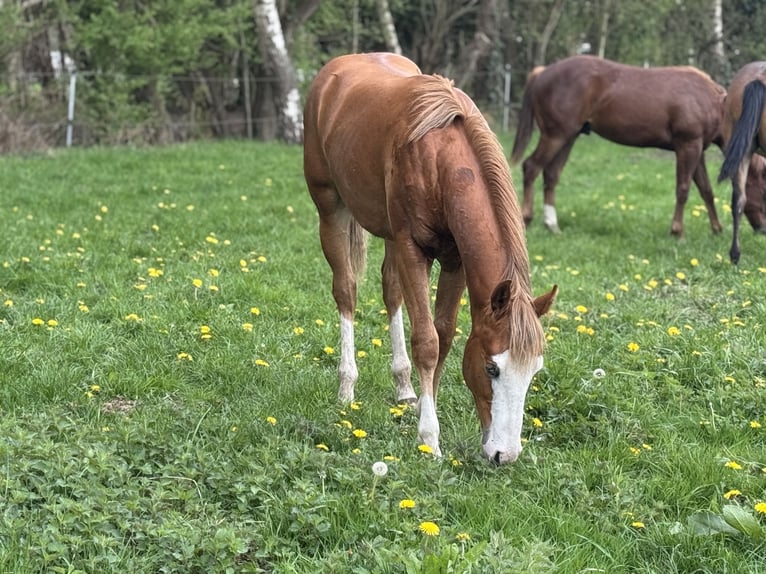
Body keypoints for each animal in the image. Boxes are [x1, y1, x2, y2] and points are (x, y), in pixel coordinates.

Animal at [303, 53, 557, 464]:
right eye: (492, 368)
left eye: (534, 371)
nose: (504, 455)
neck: (438, 158)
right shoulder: (412, 249)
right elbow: (426, 341)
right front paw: (430, 438)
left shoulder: (454, 260)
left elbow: (445, 336)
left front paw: (425, 406)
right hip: (331, 210)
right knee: (346, 292)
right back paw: (346, 387)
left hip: (388, 235)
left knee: (391, 292)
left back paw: (404, 386)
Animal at [510, 55, 727, 238]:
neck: (710, 100)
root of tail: (542, 73)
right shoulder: (687, 145)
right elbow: (683, 189)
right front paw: (677, 232)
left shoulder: (697, 150)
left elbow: (706, 190)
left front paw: (717, 229)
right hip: (555, 136)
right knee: (531, 167)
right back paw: (526, 219)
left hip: (568, 137)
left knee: (551, 174)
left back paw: (552, 225)